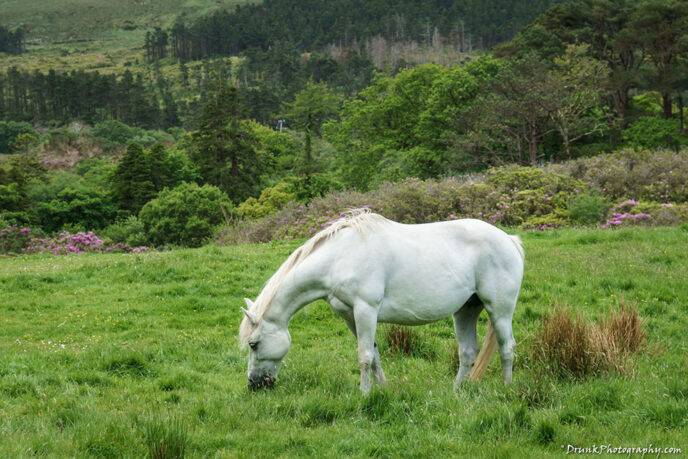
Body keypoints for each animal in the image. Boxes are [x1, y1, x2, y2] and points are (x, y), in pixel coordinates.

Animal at [239, 210, 524, 394]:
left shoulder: (366, 310)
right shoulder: (350, 316)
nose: (254, 384)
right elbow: (374, 354)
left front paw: (363, 395)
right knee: (467, 352)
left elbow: (364, 356)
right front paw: (382, 389)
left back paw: (508, 389)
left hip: (499, 311)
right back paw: (456, 392)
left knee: (507, 347)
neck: (340, 256)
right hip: (466, 310)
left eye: (254, 344)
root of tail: (510, 240)